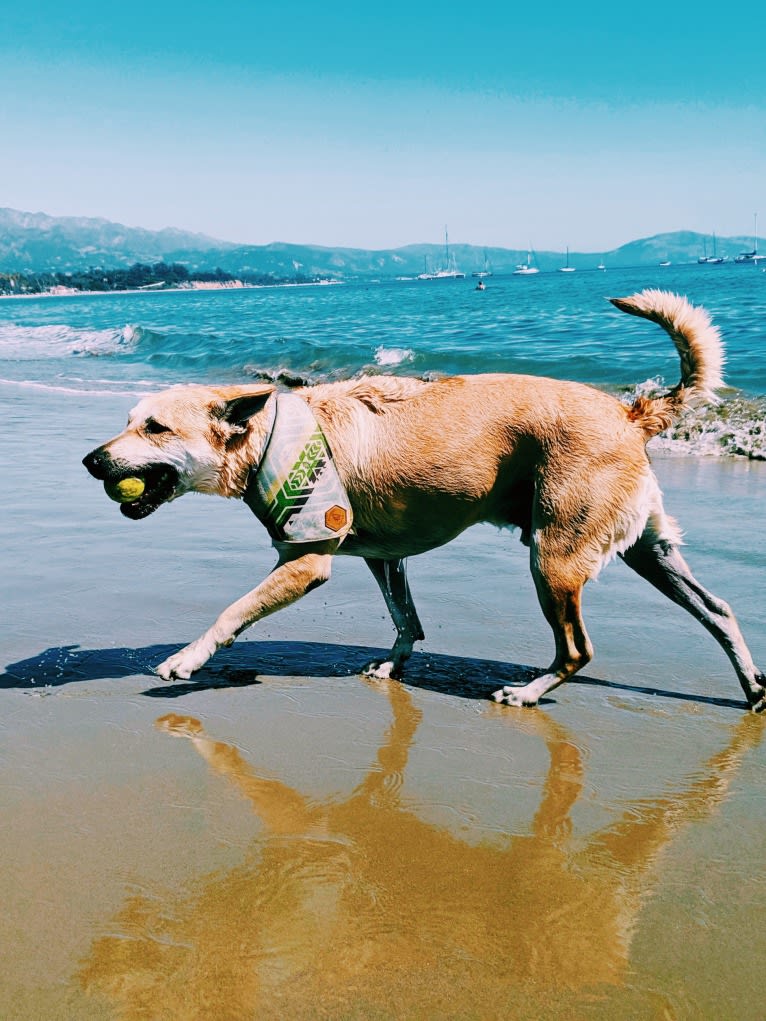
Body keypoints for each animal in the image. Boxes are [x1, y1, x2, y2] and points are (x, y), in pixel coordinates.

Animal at [82, 289, 766, 710]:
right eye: (129, 421)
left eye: (155, 428)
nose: (92, 461)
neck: (271, 433)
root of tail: (631, 413)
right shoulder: (385, 557)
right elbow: (405, 618)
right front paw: (393, 668)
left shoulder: (307, 559)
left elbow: (232, 612)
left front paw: (186, 659)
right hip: (646, 548)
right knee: (718, 609)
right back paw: (753, 688)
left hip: (554, 556)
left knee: (579, 648)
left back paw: (529, 691)